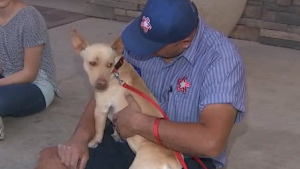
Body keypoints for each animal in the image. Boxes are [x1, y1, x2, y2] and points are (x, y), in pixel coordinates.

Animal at [71, 29, 182, 169]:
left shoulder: (101, 109)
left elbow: (98, 131)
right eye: (92, 63)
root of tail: (171, 162)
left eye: (109, 65)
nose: (102, 84)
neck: (116, 69)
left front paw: (94, 142)